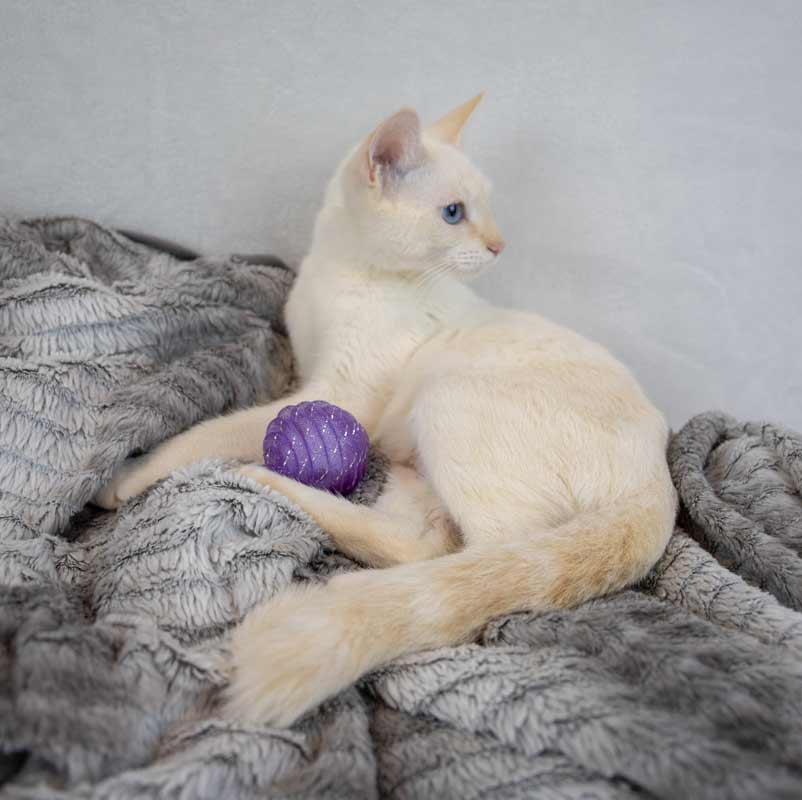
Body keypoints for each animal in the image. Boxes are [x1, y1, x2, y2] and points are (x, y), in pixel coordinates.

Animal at [95, 94, 677, 727]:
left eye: (482, 209)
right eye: (454, 212)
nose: (499, 245)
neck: (342, 271)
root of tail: (659, 478)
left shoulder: (339, 394)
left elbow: (213, 432)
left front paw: (128, 475)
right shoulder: (307, 369)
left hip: (447, 397)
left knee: (470, 557)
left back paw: (276, 485)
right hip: (421, 458)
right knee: (421, 541)